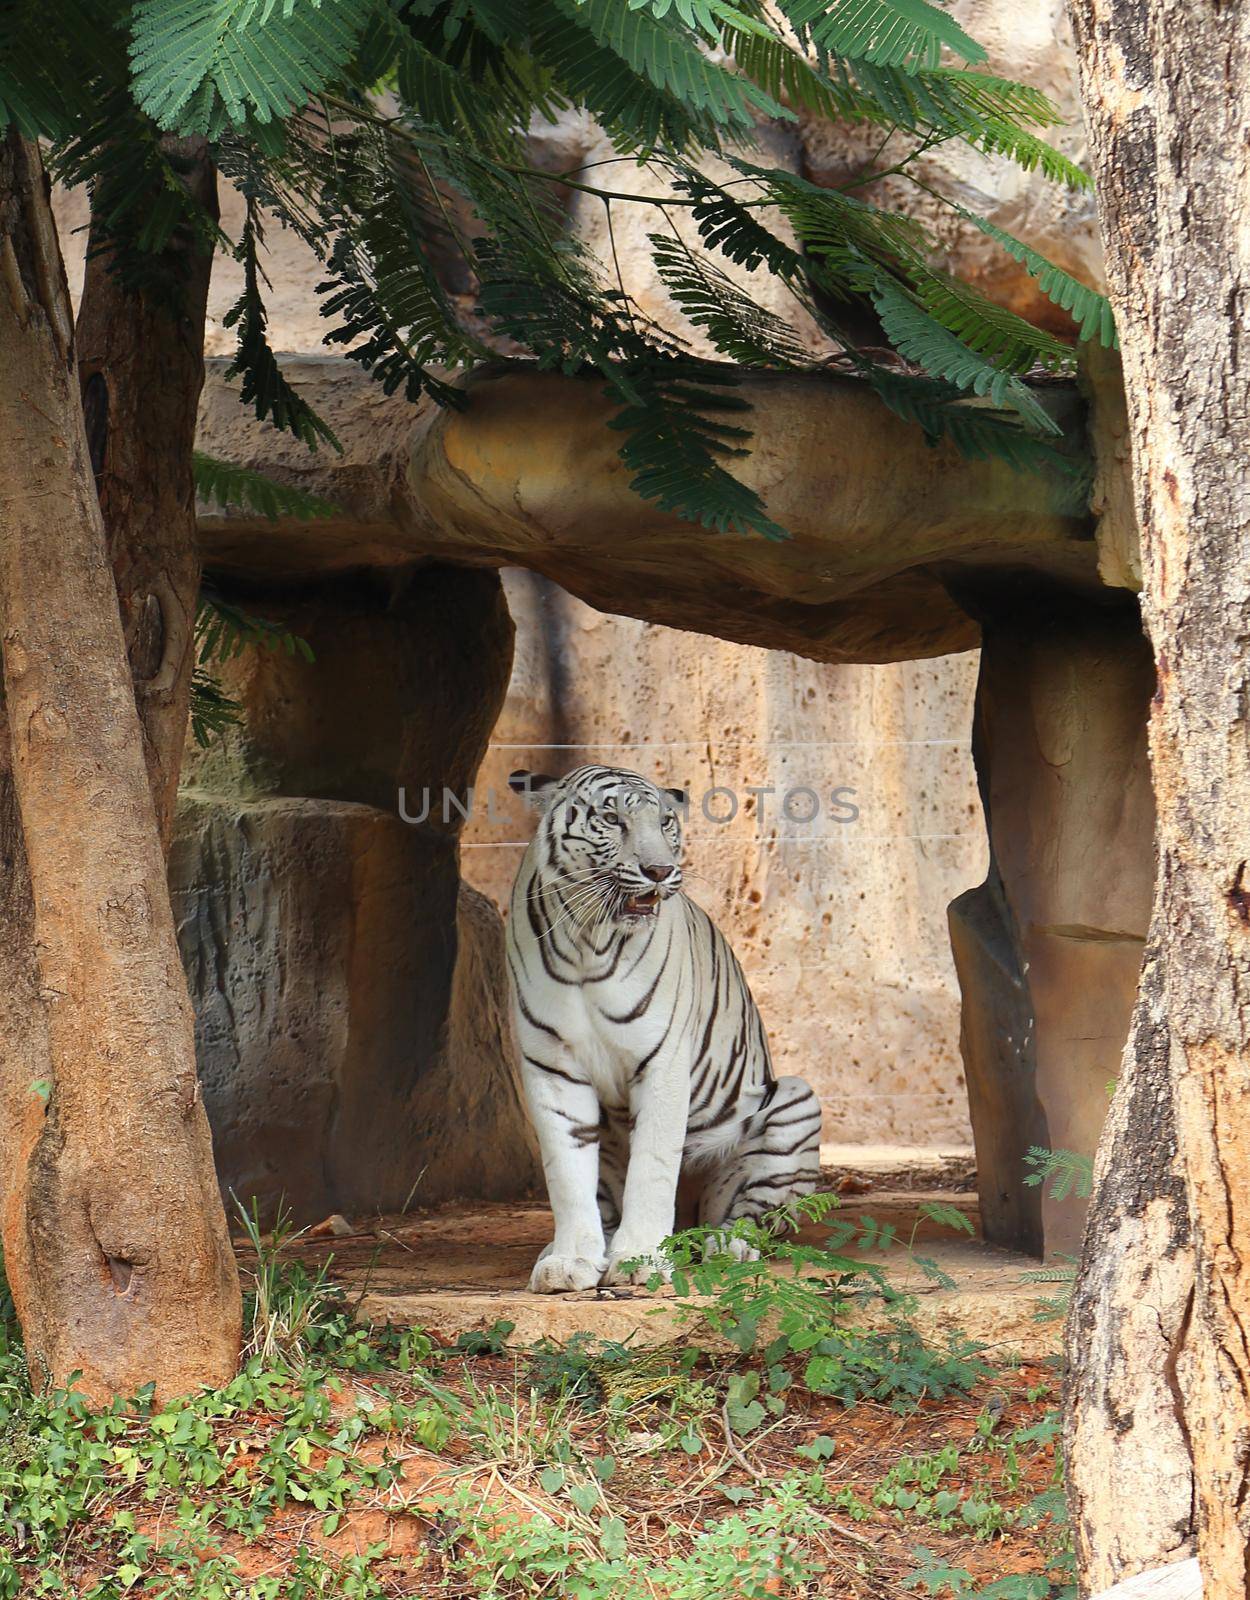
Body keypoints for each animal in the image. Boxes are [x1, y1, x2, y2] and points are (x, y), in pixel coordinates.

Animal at [502, 764, 825, 1299]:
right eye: (612, 819)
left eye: (666, 822)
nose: (659, 871)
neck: (589, 940)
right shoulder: (553, 1065)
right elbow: (566, 1172)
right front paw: (569, 1261)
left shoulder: (663, 1062)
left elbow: (652, 1166)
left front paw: (639, 1260)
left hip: (794, 1104)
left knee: (746, 1216)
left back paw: (728, 1245)